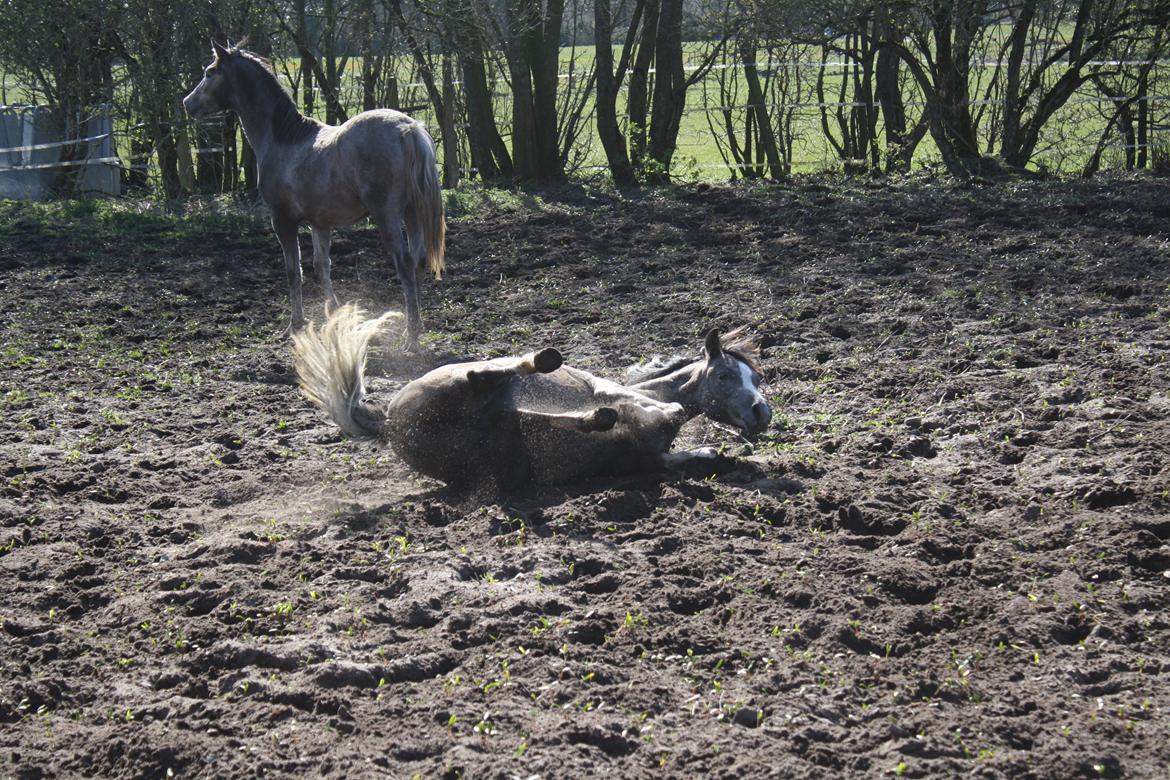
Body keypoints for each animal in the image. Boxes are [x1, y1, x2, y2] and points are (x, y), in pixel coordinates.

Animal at [184, 39, 444, 350]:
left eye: (209, 72)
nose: (187, 103)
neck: (283, 139)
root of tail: (408, 128)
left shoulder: (282, 220)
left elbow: (293, 272)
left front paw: (294, 326)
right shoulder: (320, 223)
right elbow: (322, 266)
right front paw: (333, 315)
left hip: (388, 215)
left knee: (404, 264)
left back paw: (411, 339)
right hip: (412, 212)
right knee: (417, 261)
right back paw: (413, 328)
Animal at [288, 304, 772, 491]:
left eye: (756, 376)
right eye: (726, 374)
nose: (761, 412)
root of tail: (387, 422)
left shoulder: (650, 456)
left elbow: (696, 451)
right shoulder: (608, 389)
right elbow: (651, 405)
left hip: (492, 445)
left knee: (511, 414)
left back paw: (592, 418)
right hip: (454, 384)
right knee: (484, 375)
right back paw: (545, 360)